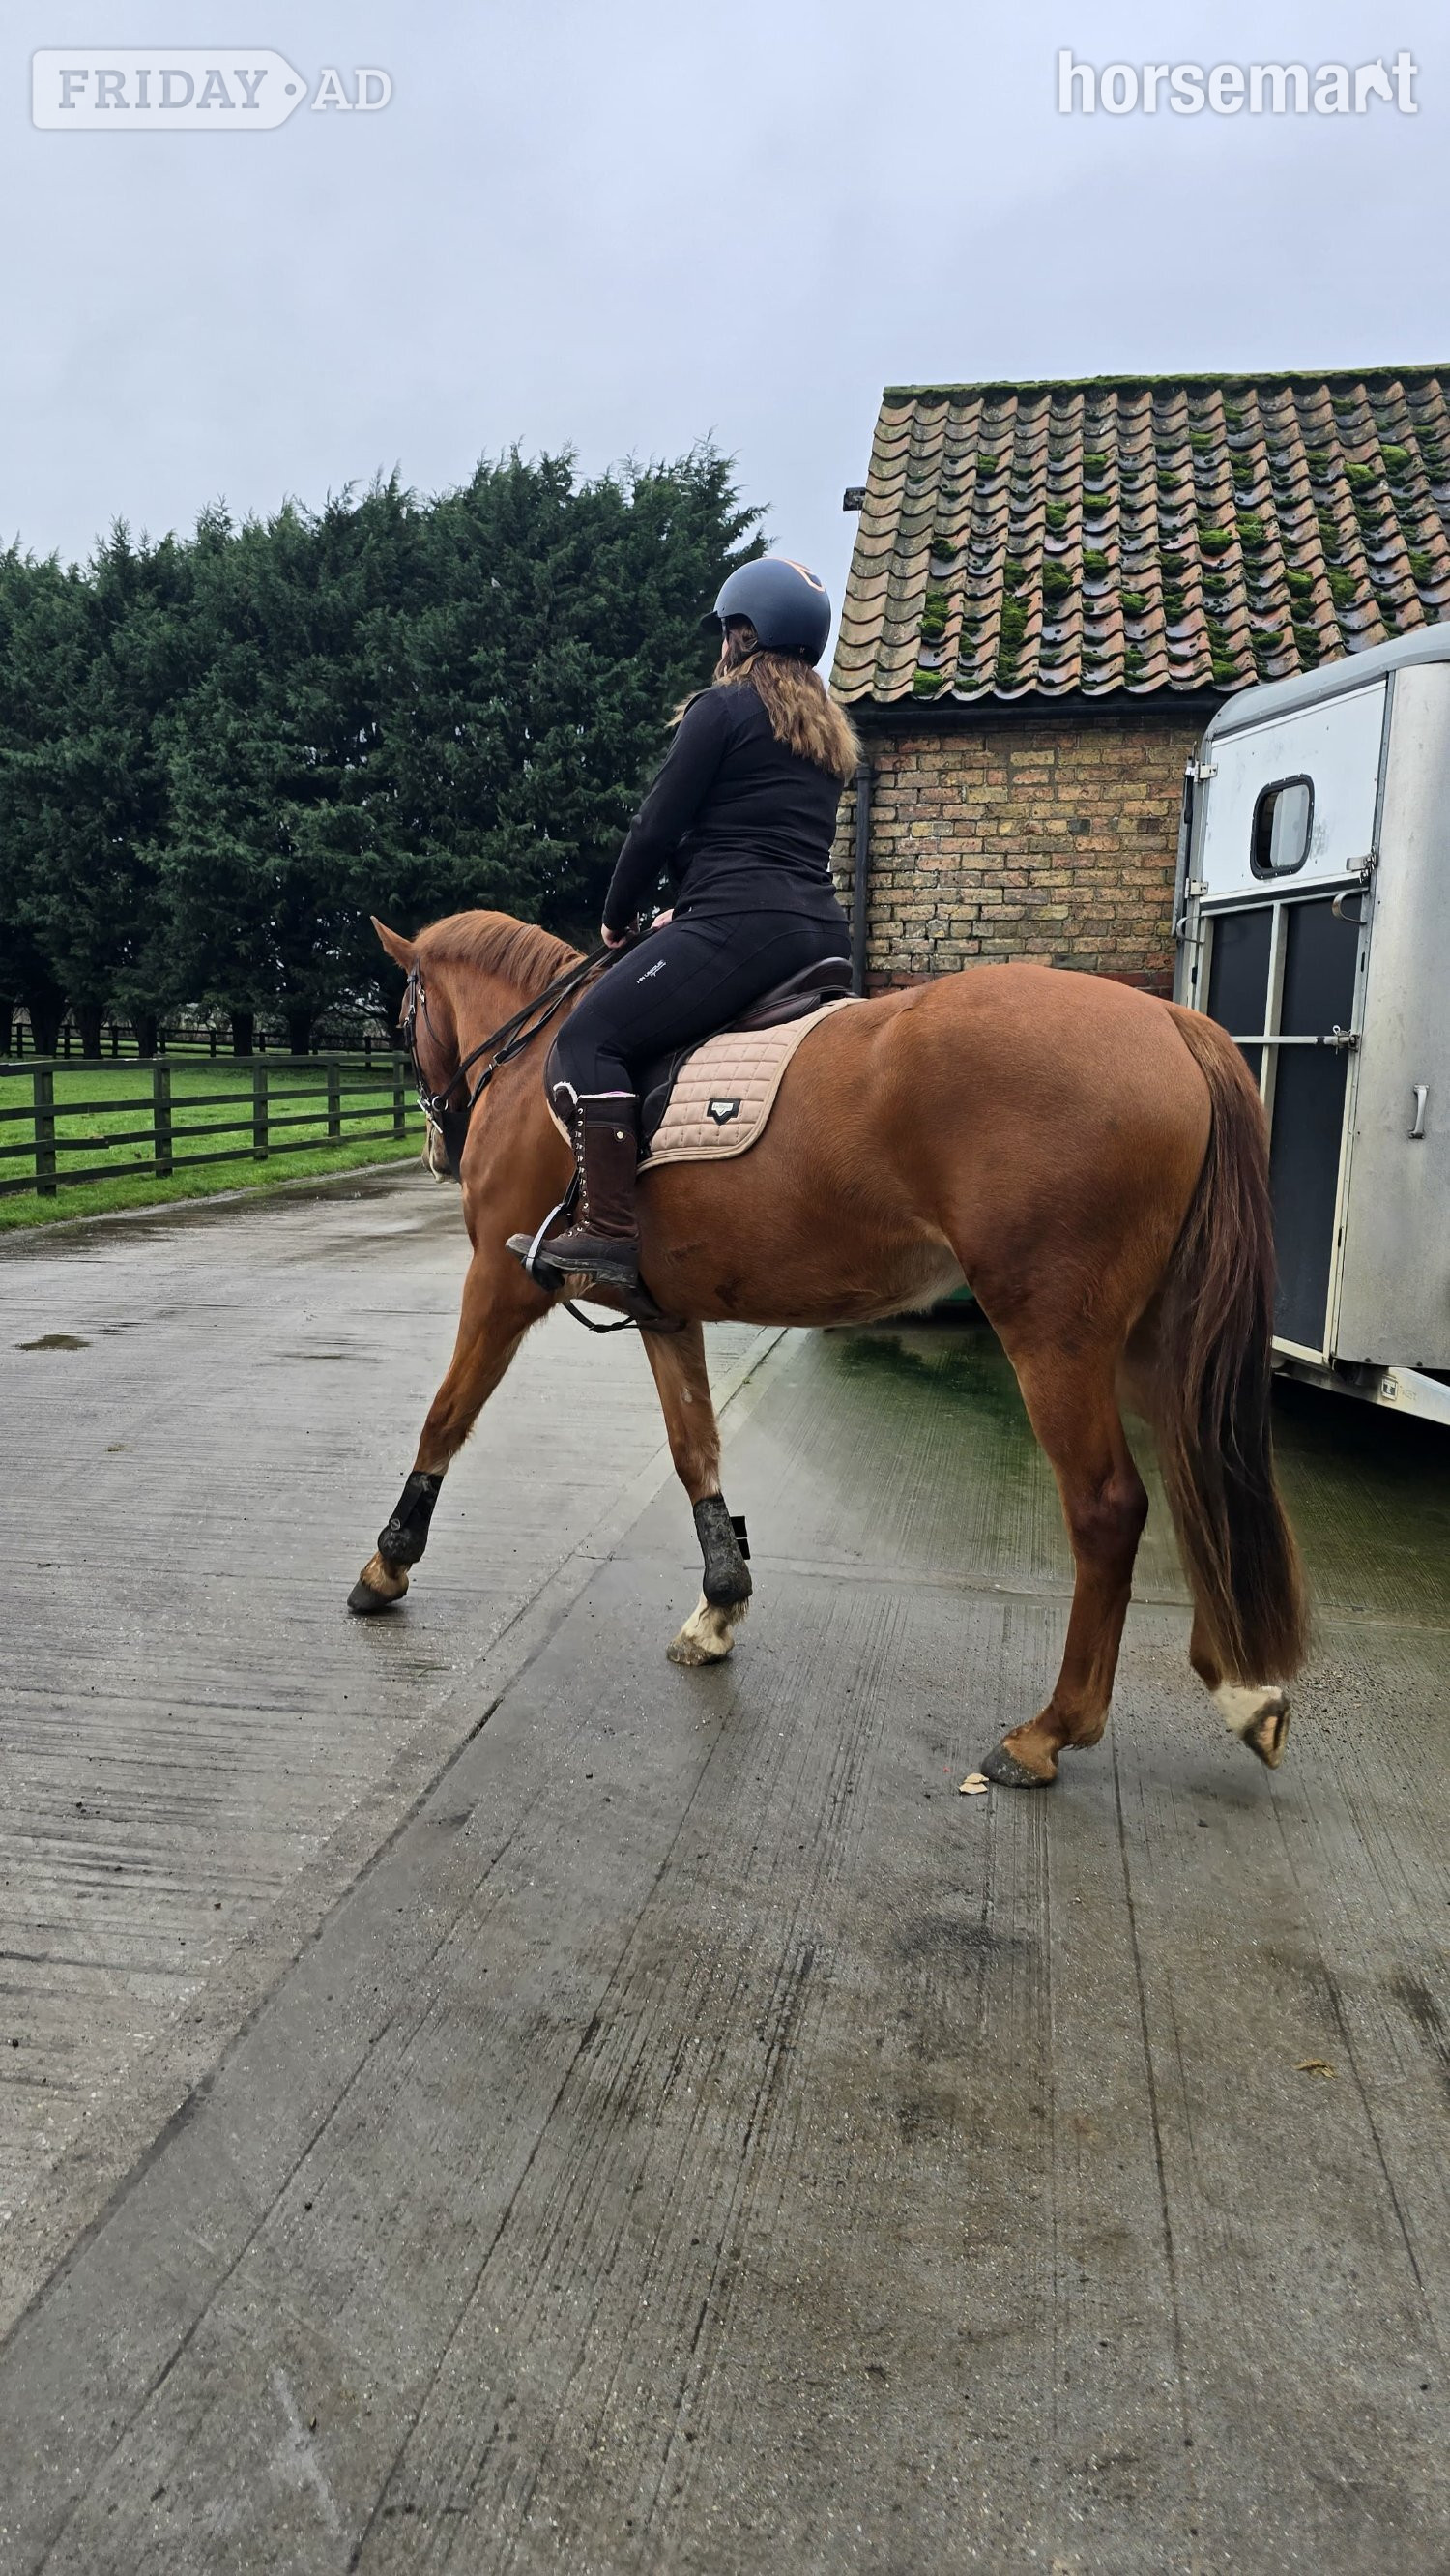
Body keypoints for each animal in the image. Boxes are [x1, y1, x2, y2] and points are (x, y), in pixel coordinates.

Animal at [353, 909, 1307, 1789]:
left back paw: (1050, 1731)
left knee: (1110, 1510)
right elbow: (694, 1448)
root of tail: (1171, 1027)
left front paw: (388, 1563)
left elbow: (444, 1418)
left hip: (1055, 1337)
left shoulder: (500, 1284)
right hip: (1158, 1343)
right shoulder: (663, 1314)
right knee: (1200, 1481)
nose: (436, 1142)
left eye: (401, 1013)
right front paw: (719, 1606)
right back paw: (1244, 1691)